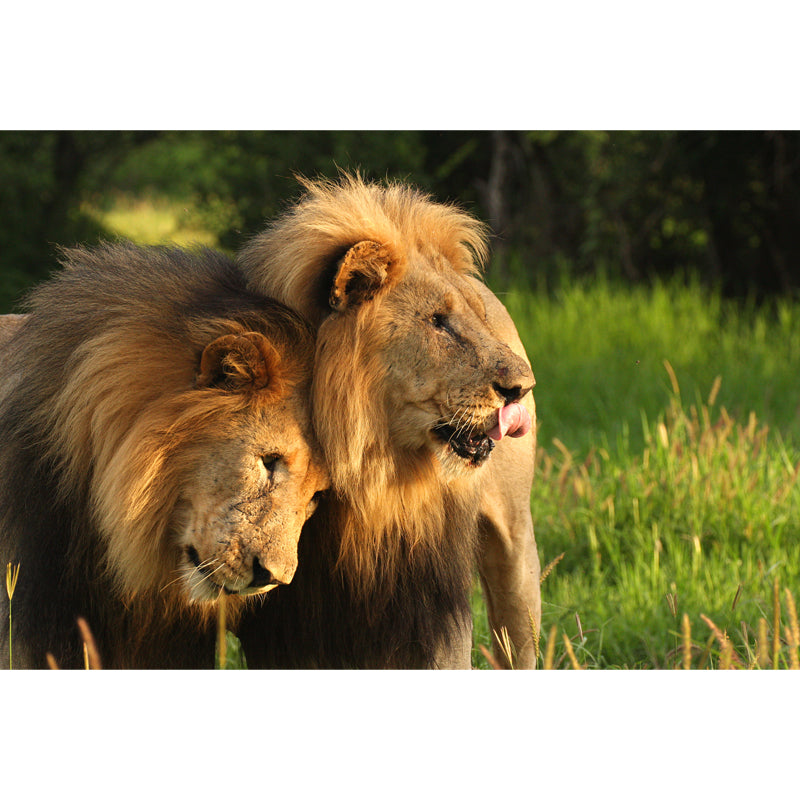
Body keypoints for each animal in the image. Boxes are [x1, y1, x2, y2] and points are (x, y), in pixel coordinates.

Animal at [235, 173, 540, 669]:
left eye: (475, 318)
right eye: (438, 321)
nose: (523, 388)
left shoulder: (424, 594)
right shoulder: (286, 616)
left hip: (515, 546)